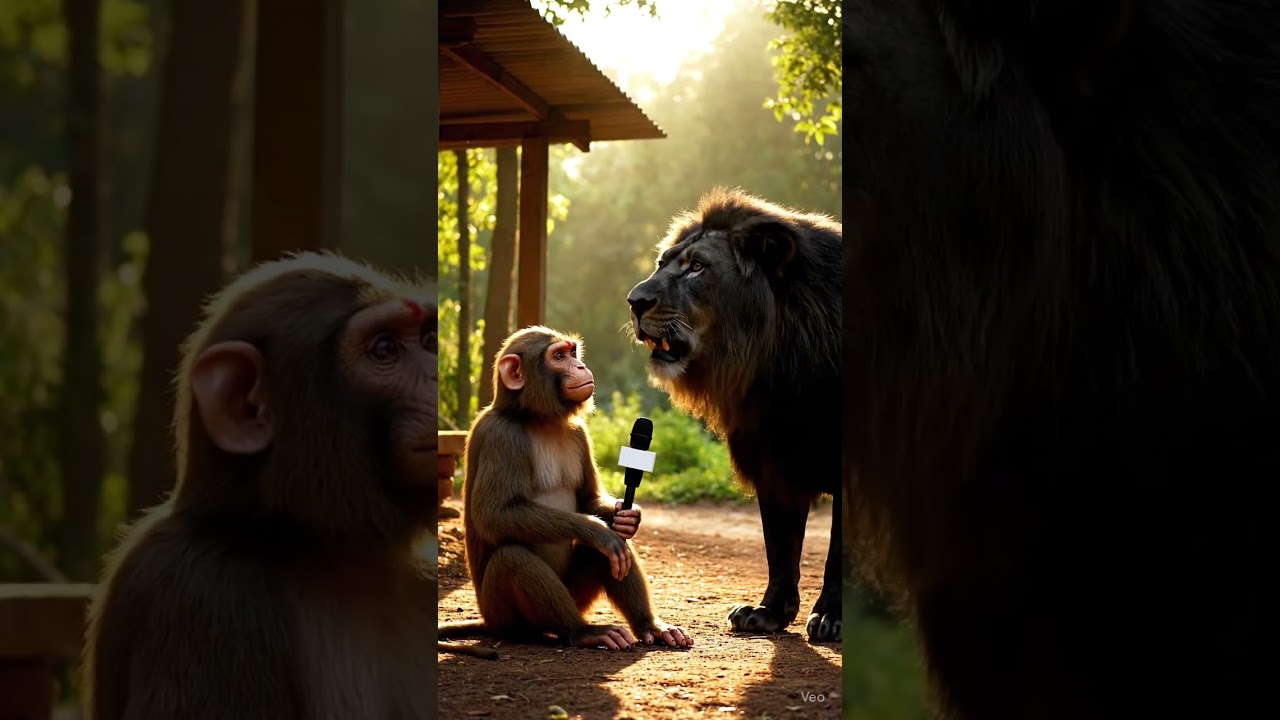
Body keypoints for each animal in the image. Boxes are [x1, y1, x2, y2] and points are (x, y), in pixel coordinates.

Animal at [437, 326, 693, 653]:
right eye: (558, 357)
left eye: (571, 353)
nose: (580, 366)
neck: (537, 418)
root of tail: (488, 622)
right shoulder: (501, 436)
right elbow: (494, 514)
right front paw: (595, 529)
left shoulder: (579, 433)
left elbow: (589, 499)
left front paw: (627, 516)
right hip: (503, 616)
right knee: (512, 559)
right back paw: (583, 631)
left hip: (576, 597)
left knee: (610, 551)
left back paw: (651, 626)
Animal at [626, 187, 842, 643]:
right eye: (661, 263)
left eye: (697, 267)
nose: (634, 302)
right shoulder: (771, 458)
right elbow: (779, 544)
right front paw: (767, 612)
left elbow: (838, 555)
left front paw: (832, 616)